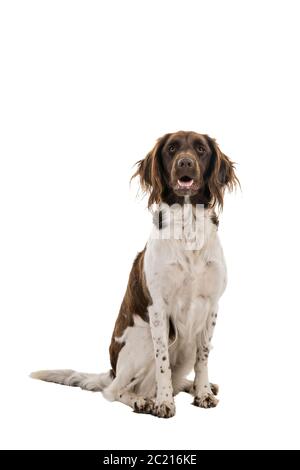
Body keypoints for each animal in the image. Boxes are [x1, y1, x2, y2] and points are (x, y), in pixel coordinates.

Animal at [31, 131, 239, 418]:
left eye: (200, 149)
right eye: (172, 149)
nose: (185, 163)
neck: (187, 229)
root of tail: (111, 371)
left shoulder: (211, 306)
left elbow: (203, 357)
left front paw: (203, 393)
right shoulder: (158, 308)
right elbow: (162, 363)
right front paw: (163, 403)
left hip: (184, 344)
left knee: (176, 378)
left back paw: (194, 386)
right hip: (143, 341)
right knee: (115, 391)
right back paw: (143, 401)